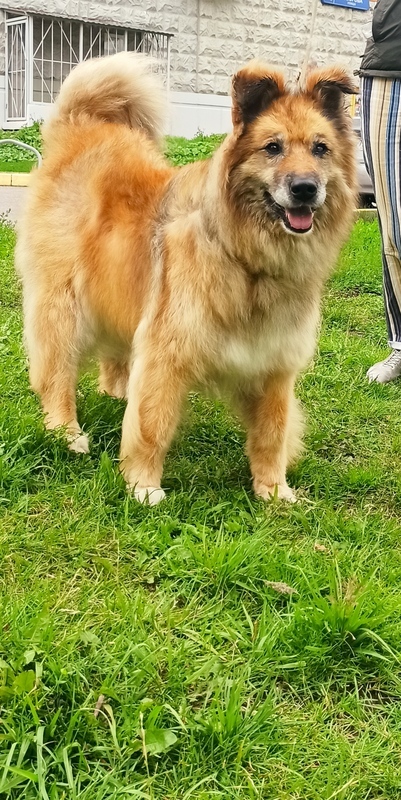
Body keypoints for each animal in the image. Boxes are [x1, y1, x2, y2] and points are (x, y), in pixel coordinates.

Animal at [15, 54, 356, 506]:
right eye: (272, 148)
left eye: (321, 149)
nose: (305, 188)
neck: (246, 259)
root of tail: (79, 126)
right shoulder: (167, 353)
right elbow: (151, 425)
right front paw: (143, 486)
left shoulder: (274, 365)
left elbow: (272, 432)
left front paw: (273, 490)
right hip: (63, 306)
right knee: (55, 376)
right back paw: (65, 432)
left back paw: (117, 394)